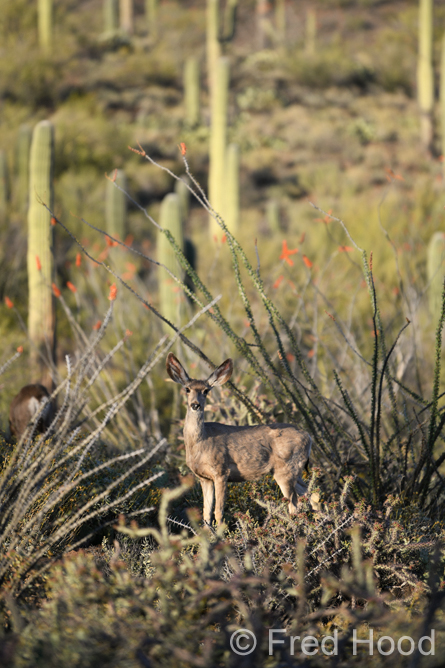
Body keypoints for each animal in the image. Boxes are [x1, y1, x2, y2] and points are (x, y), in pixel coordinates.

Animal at [166, 353, 316, 526]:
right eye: (187, 389)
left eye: (206, 390)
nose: (195, 405)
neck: (201, 442)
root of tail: (308, 436)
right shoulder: (204, 478)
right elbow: (206, 513)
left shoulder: (221, 471)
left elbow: (218, 511)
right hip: (295, 471)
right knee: (311, 494)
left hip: (286, 469)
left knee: (294, 504)